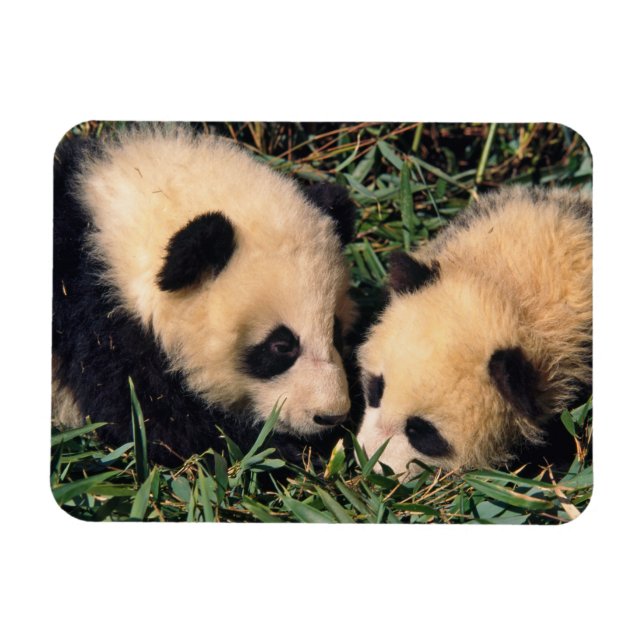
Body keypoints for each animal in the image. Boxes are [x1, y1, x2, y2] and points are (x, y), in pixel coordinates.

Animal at [53, 123, 358, 466]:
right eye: (281, 346)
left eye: (336, 332)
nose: (330, 415)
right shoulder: (96, 320)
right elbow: (158, 422)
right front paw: (288, 451)